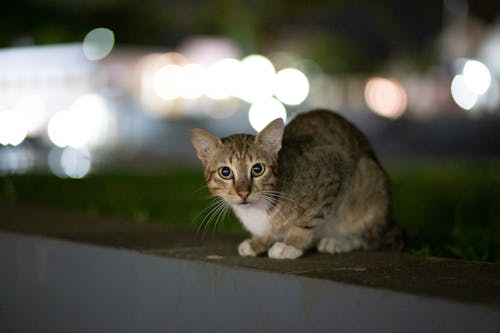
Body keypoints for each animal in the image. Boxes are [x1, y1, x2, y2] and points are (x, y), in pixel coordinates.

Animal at [189, 110, 404, 258]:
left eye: (257, 169)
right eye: (225, 172)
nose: (243, 193)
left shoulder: (330, 170)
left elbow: (307, 220)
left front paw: (292, 243)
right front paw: (260, 242)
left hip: (370, 180)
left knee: (370, 236)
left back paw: (340, 241)